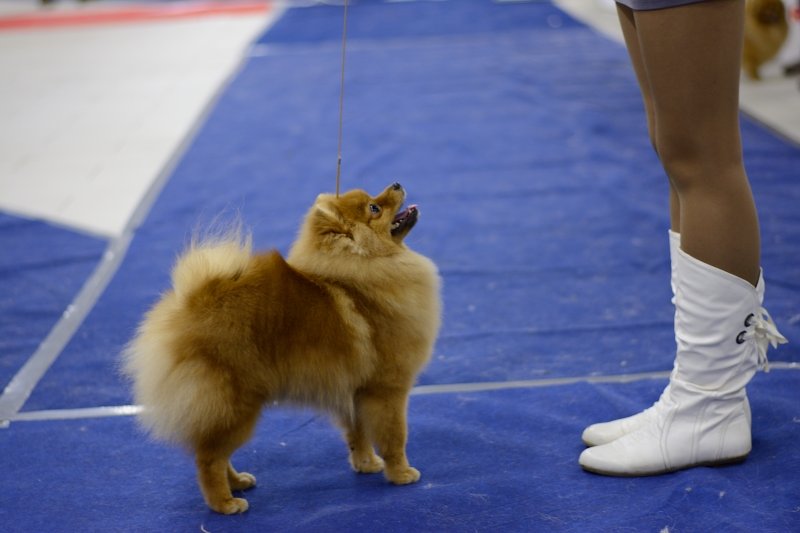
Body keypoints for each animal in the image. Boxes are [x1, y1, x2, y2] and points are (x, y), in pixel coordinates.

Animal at [122, 182, 440, 512]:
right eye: (373, 208)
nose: (397, 184)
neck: (362, 274)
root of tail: (190, 305)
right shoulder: (387, 388)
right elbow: (395, 437)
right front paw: (401, 473)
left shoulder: (355, 388)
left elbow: (358, 433)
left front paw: (366, 464)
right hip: (237, 405)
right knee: (208, 459)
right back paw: (225, 503)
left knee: (217, 453)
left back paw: (238, 483)